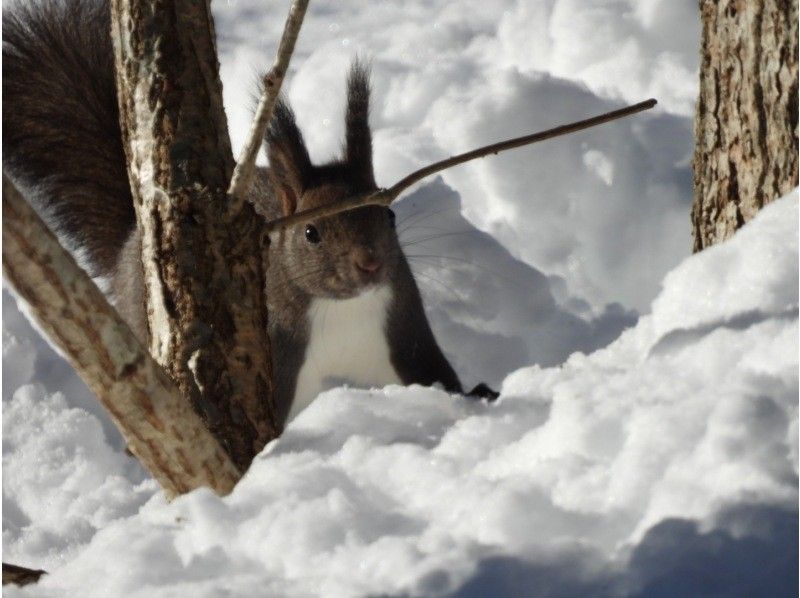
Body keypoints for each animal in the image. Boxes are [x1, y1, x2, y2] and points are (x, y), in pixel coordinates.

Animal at [3, 0, 496, 432]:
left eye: (389, 215)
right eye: (311, 232)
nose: (370, 263)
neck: (344, 310)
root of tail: (133, 240)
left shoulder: (402, 332)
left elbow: (434, 374)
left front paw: (478, 395)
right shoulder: (280, 351)